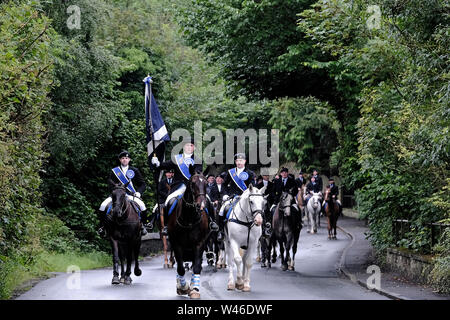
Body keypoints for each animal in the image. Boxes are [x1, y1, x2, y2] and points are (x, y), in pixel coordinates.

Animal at [166, 170, 210, 300]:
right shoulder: (177, 244)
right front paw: (183, 287)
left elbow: (197, 266)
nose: (201, 205)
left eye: (206, 183)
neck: (189, 218)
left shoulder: (199, 243)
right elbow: (180, 268)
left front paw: (194, 289)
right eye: (192, 183)